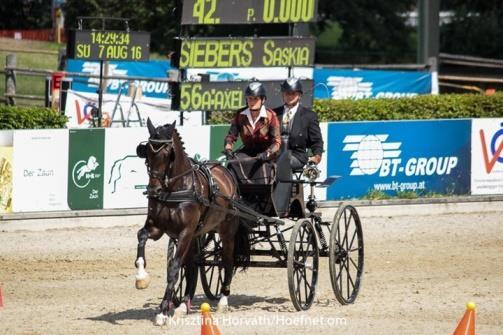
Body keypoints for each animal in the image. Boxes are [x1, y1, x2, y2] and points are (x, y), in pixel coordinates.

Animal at [135, 119, 251, 326]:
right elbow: (141, 236)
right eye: (146, 151)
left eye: (167, 153)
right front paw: (141, 276)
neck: (176, 188)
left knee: (227, 261)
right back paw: (183, 305)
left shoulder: (185, 232)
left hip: (226, 231)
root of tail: (225, 171)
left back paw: (223, 300)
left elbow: (174, 268)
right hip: (196, 235)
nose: (154, 190)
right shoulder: (157, 228)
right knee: (191, 265)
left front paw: (163, 312)